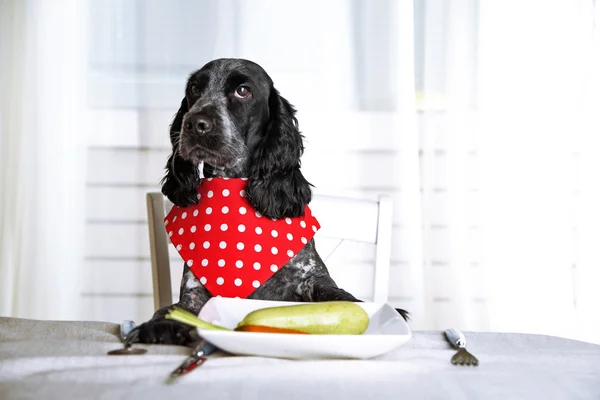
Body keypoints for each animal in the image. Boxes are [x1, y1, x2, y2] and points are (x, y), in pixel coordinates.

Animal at [126, 57, 408, 346]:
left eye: (243, 91)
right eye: (194, 88)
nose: (194, 123)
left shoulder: (309, 278)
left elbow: (338, 294)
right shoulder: (195, 290)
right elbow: (174, 307)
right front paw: (158, 325)